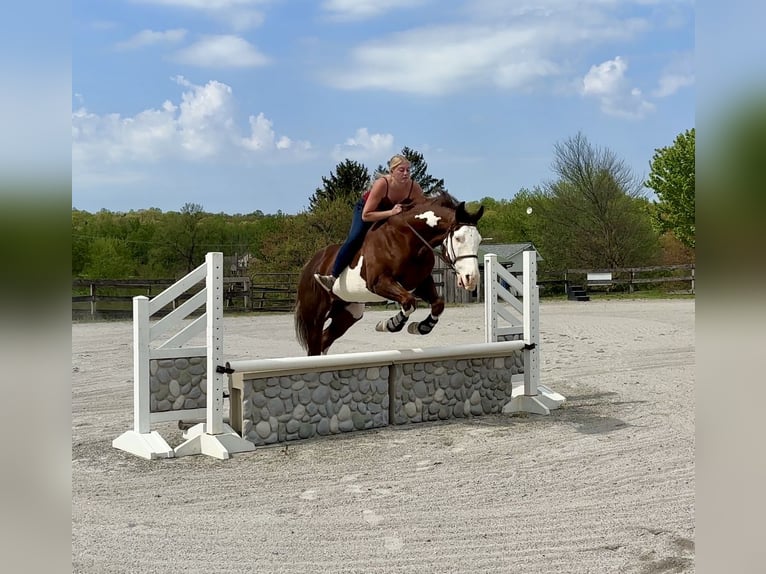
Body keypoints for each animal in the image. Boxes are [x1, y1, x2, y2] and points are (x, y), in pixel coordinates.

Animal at [294, 192, 485, 356]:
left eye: (479, 240)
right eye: (459, 238)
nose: (471, 279)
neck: (408, 239)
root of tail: (311, 264)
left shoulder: (420, 282)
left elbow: (437, 304)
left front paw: (420, 327)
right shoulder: (379, 283)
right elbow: (409, 301)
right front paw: (389, 324)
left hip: (348, 313)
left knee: (325, 340)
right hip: (315, 317)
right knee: (314, 345)